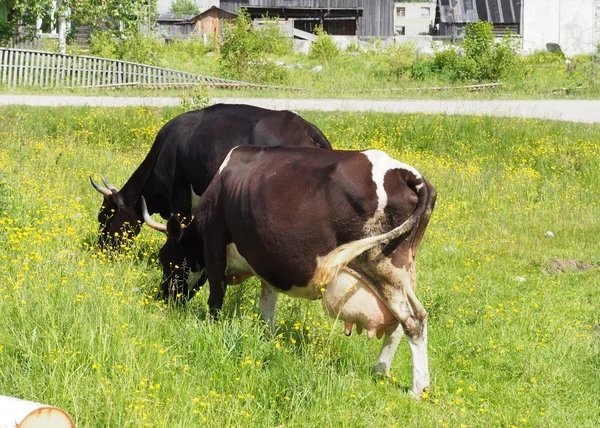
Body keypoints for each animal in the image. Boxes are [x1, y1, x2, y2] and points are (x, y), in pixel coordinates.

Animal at [145, 146, 436, 398]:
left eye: (166, 259)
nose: (163, 299)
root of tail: (409, 175)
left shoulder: (214, 243)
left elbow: (216, 296)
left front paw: (214, 328)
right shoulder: (267, 261)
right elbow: (267, 307)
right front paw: (267, 340)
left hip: (382, 266)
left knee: (414, 320)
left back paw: (417, 388)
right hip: (403, 271)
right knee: (400, 323)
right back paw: (380, 371)